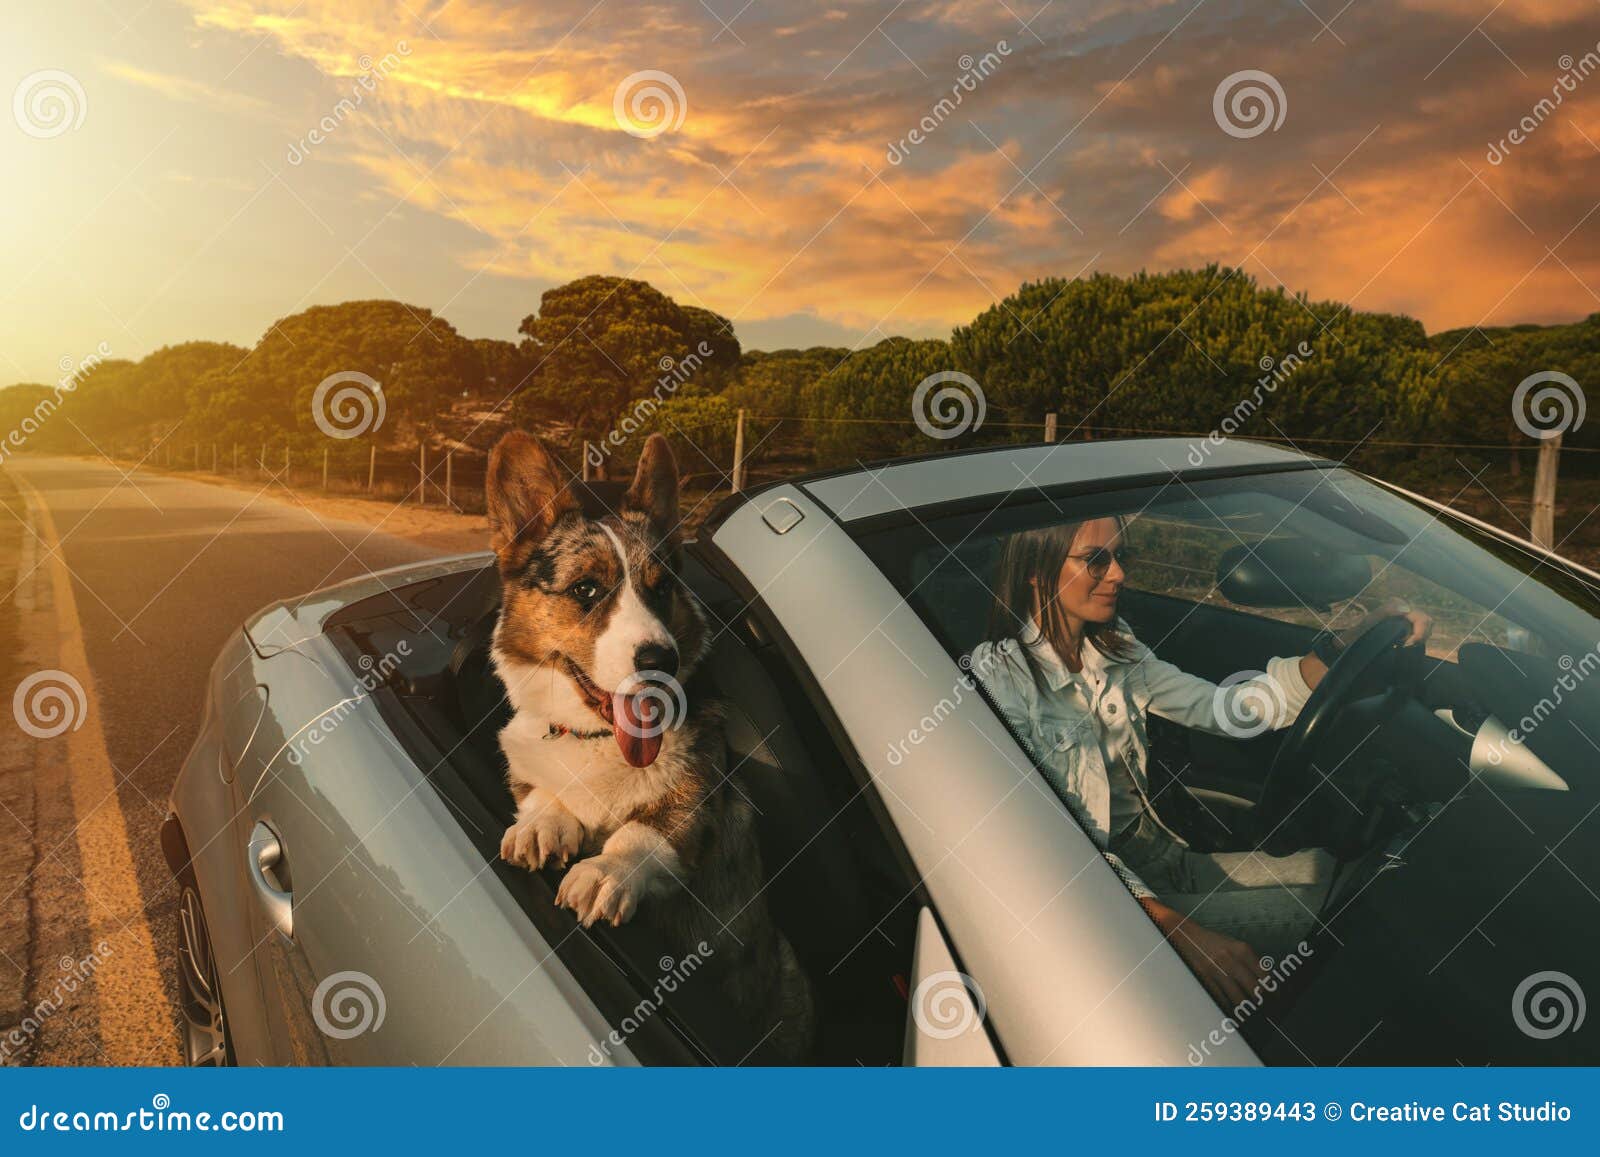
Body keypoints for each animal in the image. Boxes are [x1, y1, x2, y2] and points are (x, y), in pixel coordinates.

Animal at [483, 428, 812, 1062]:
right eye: (586, 589)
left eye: (662, 591)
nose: (663, 659)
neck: (595, 743)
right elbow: (540, 794)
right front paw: (542, 824)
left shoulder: (699, 802)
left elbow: (645, 831)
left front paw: (606, 872)